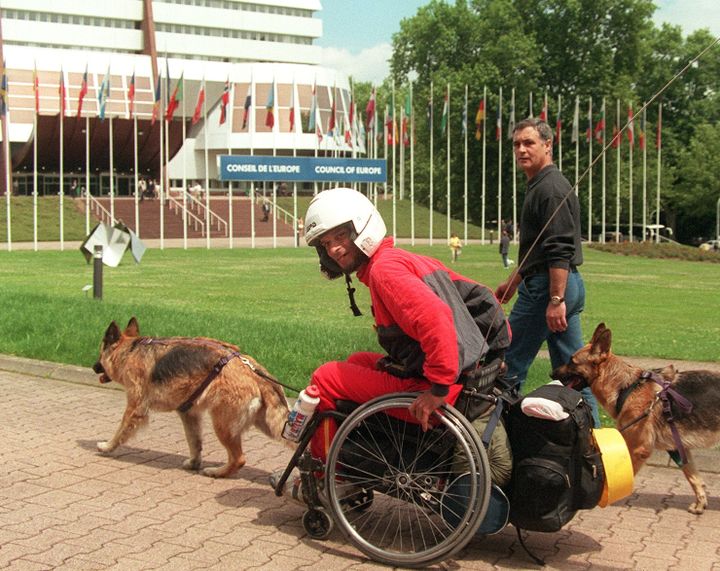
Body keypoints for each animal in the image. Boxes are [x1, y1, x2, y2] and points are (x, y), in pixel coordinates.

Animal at [93, 318, 290, 478]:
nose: (94, 366)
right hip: (270, 426)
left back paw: (217, 472)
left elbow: (121, 430)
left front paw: (108, 446)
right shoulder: (188, 414)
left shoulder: (135, 408)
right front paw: (194, 462)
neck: (131, 351)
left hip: (223, 426)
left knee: (239, 458)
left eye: (100, 353)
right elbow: (194, 442)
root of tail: (256, 373)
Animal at [552, 324, 720, 516]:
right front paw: (701, 503)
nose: (551, 373)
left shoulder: (638, 448)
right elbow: (693, 477)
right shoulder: (679, 448)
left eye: (572, 361)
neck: (626, 387)